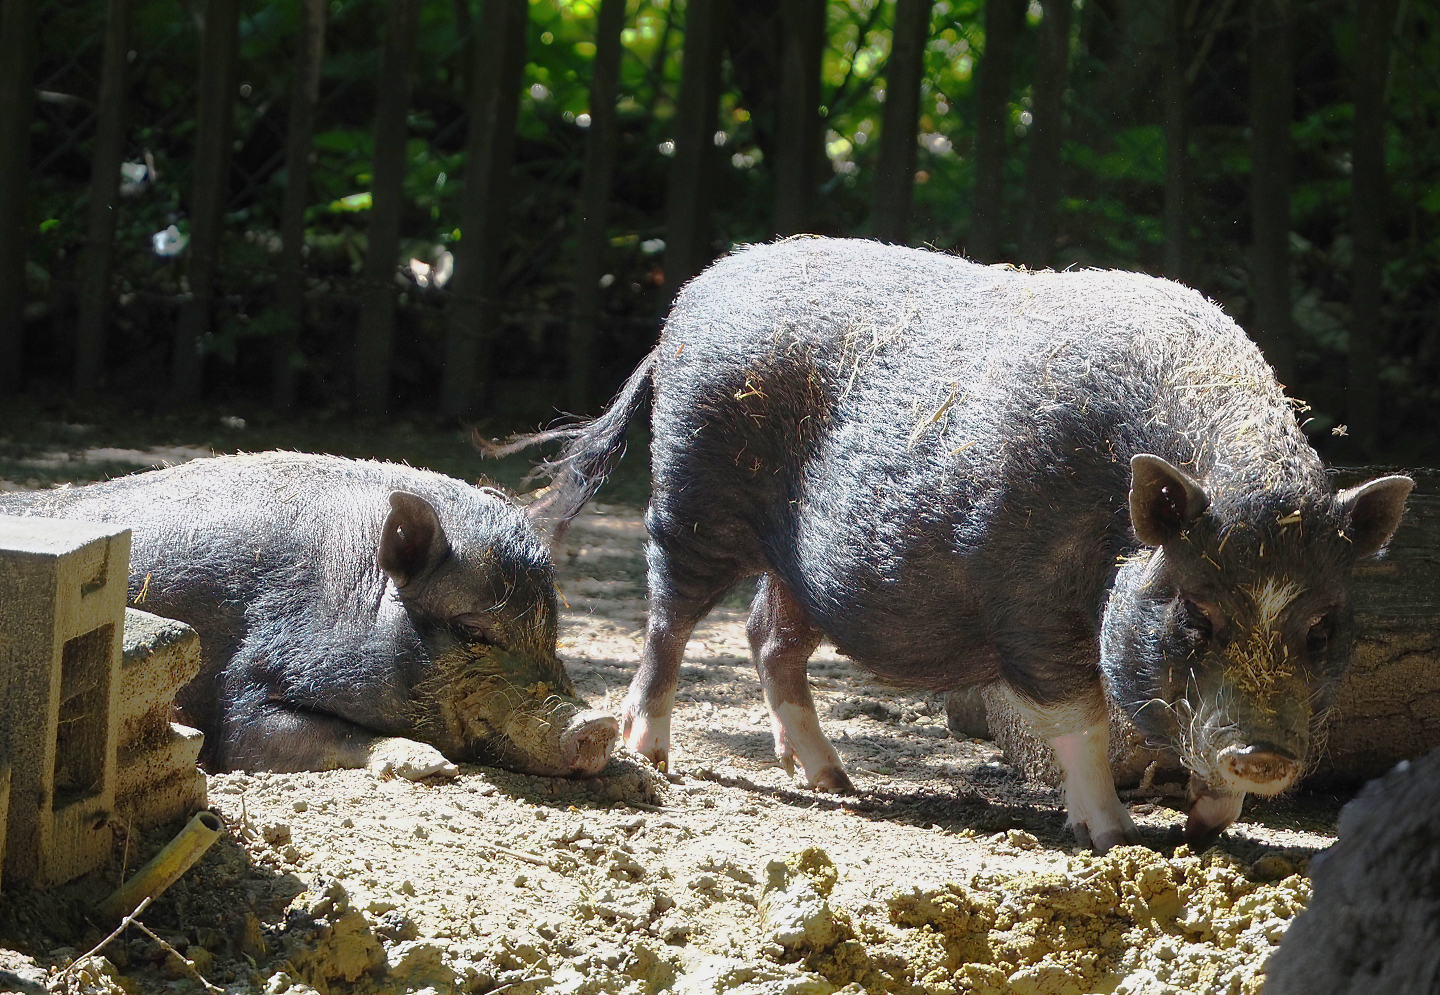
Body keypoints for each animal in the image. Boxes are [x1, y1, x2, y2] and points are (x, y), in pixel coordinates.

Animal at [0, 452, 618, 779]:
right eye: (472, 628)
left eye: (552, 633)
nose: (600, 724)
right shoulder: (248, 687)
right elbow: (264, 733)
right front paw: (430, 764)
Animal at [498, 237, 1411, 852]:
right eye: (1196, 616)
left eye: (1322, 628)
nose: (1261, 752)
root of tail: (682, 308)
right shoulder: (1031, 603)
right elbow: (1081, 713)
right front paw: (1114, 836)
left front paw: (1203, 826)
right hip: (691, 494)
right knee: (669, 621)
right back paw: (655, 755)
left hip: (797, 562)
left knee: (768, 638)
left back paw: (835, 780)